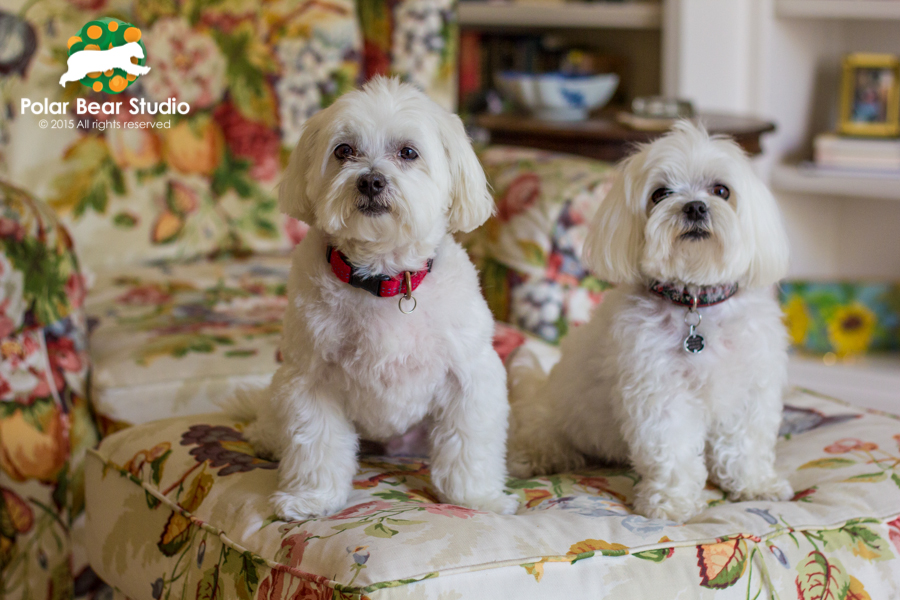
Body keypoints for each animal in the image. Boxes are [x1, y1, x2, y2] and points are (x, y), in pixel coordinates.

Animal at [229, 78, 516, 520]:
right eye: (343, 150)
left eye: (408, 152)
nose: (370, 181)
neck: (382, 279)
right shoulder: (310, 380)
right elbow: (315, 445)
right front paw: (311, 499)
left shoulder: (470, 376)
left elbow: (470, 443)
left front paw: (476, 497)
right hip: (281, 389)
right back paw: (264, 436)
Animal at [510, 123, 792, 524]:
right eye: (660, 194)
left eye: (722, 190)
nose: (694, 206)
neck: (695, 301)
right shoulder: (660, 393)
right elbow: (672, 451)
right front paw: (671, 503)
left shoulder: (750, 388)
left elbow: (746, 444)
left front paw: (755, 484)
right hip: (549, 424)